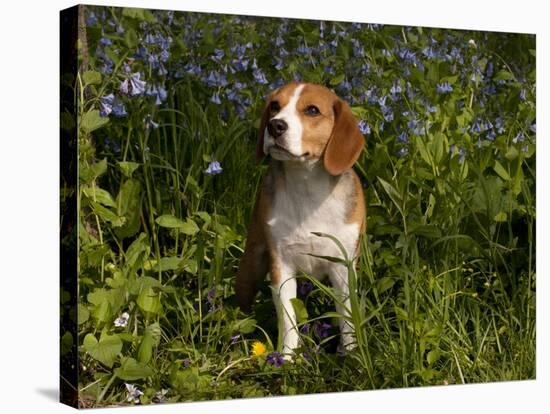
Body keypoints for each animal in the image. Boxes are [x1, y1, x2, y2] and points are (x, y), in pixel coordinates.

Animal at [236, 81, 366, 356]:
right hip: (251, 263)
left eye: (312, 110)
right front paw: (286, 357)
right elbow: (288, 319)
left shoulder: (344, 266)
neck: (306, 187)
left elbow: (347, 317)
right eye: (275, 106)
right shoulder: (281, 265)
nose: (275, 125)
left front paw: (351, 354)